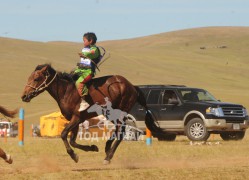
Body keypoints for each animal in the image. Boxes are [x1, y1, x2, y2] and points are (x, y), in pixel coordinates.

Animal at [20, 64, 162, 165]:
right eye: (28, 78)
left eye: (36, 78)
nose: (24, 96)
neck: (66, 91)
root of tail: (132, 87)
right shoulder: (76, 120)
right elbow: (72, 140)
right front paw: (92, 148)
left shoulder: (76, 118)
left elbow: (64, 134)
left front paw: (74, 155)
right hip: (110, 114)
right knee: (117, 131)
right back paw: (107, 149)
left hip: (121, 112)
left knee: (120, 132)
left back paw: (108, 157)